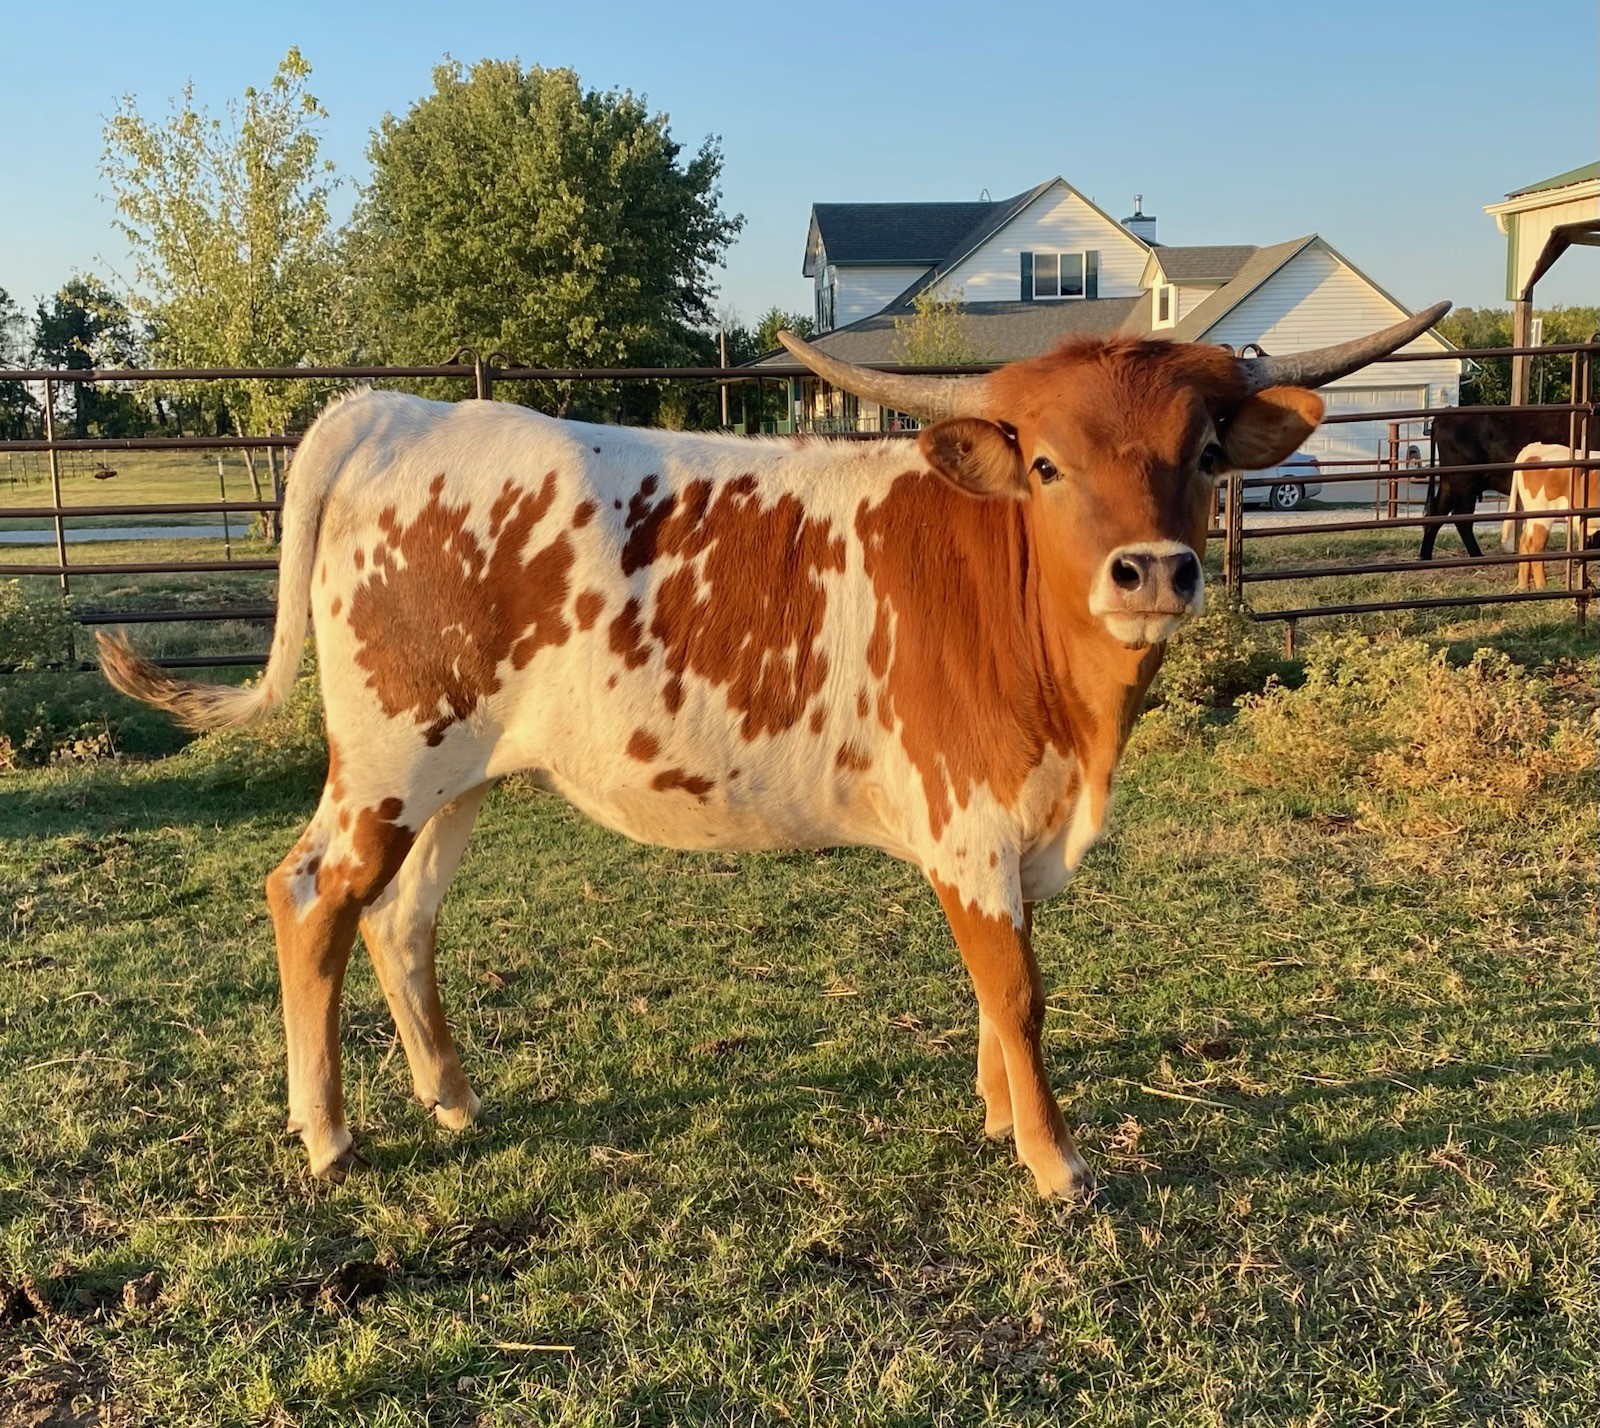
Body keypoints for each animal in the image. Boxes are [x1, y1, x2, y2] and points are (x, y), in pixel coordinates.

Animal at [96, 304, 1447, 1199]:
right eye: (1048, 462)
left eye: (1203, 456)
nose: (1153, 571)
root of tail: (393, 410)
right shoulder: (966, 823)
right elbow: (1016, 986)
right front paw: (1054, 1158)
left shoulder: (1010, 833)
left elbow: (993, 990)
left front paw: (997, 1115)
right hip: (387, 764)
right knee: (311, 899)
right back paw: (328, 1134)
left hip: (458, 776)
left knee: (403, 919)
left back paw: (452, 1098)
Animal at [1421, 408, 1590, 560]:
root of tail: (1444, 417)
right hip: (1465, 483)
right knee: (1461, 517)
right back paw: (1477, 555)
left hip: (1449, 484)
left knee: (1437, 513)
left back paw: (1425, 555)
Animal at [1500, 442, 1600, 590]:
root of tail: (1536, 447)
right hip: (1542, 516)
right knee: (1535, 547)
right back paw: (1543, 586)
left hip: (1532, 517)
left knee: (1524, 543)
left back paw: (1523, 586)